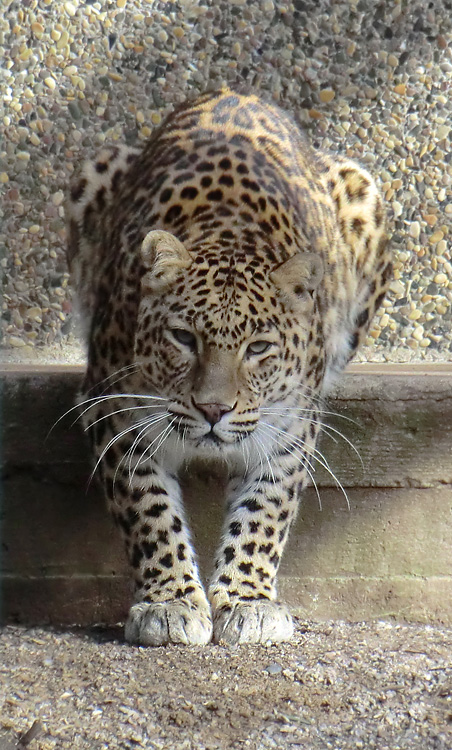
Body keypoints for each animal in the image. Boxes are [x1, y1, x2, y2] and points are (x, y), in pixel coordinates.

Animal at [65, 88, 390, 648]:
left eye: (258, 348)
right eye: (183, 338)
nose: (213, 410)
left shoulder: (290, 430)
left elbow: (263, 513)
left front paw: (248, 602)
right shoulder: (115, 414)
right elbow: (150, 513)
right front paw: (170, 603)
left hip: (363, 191)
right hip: (94, 169)